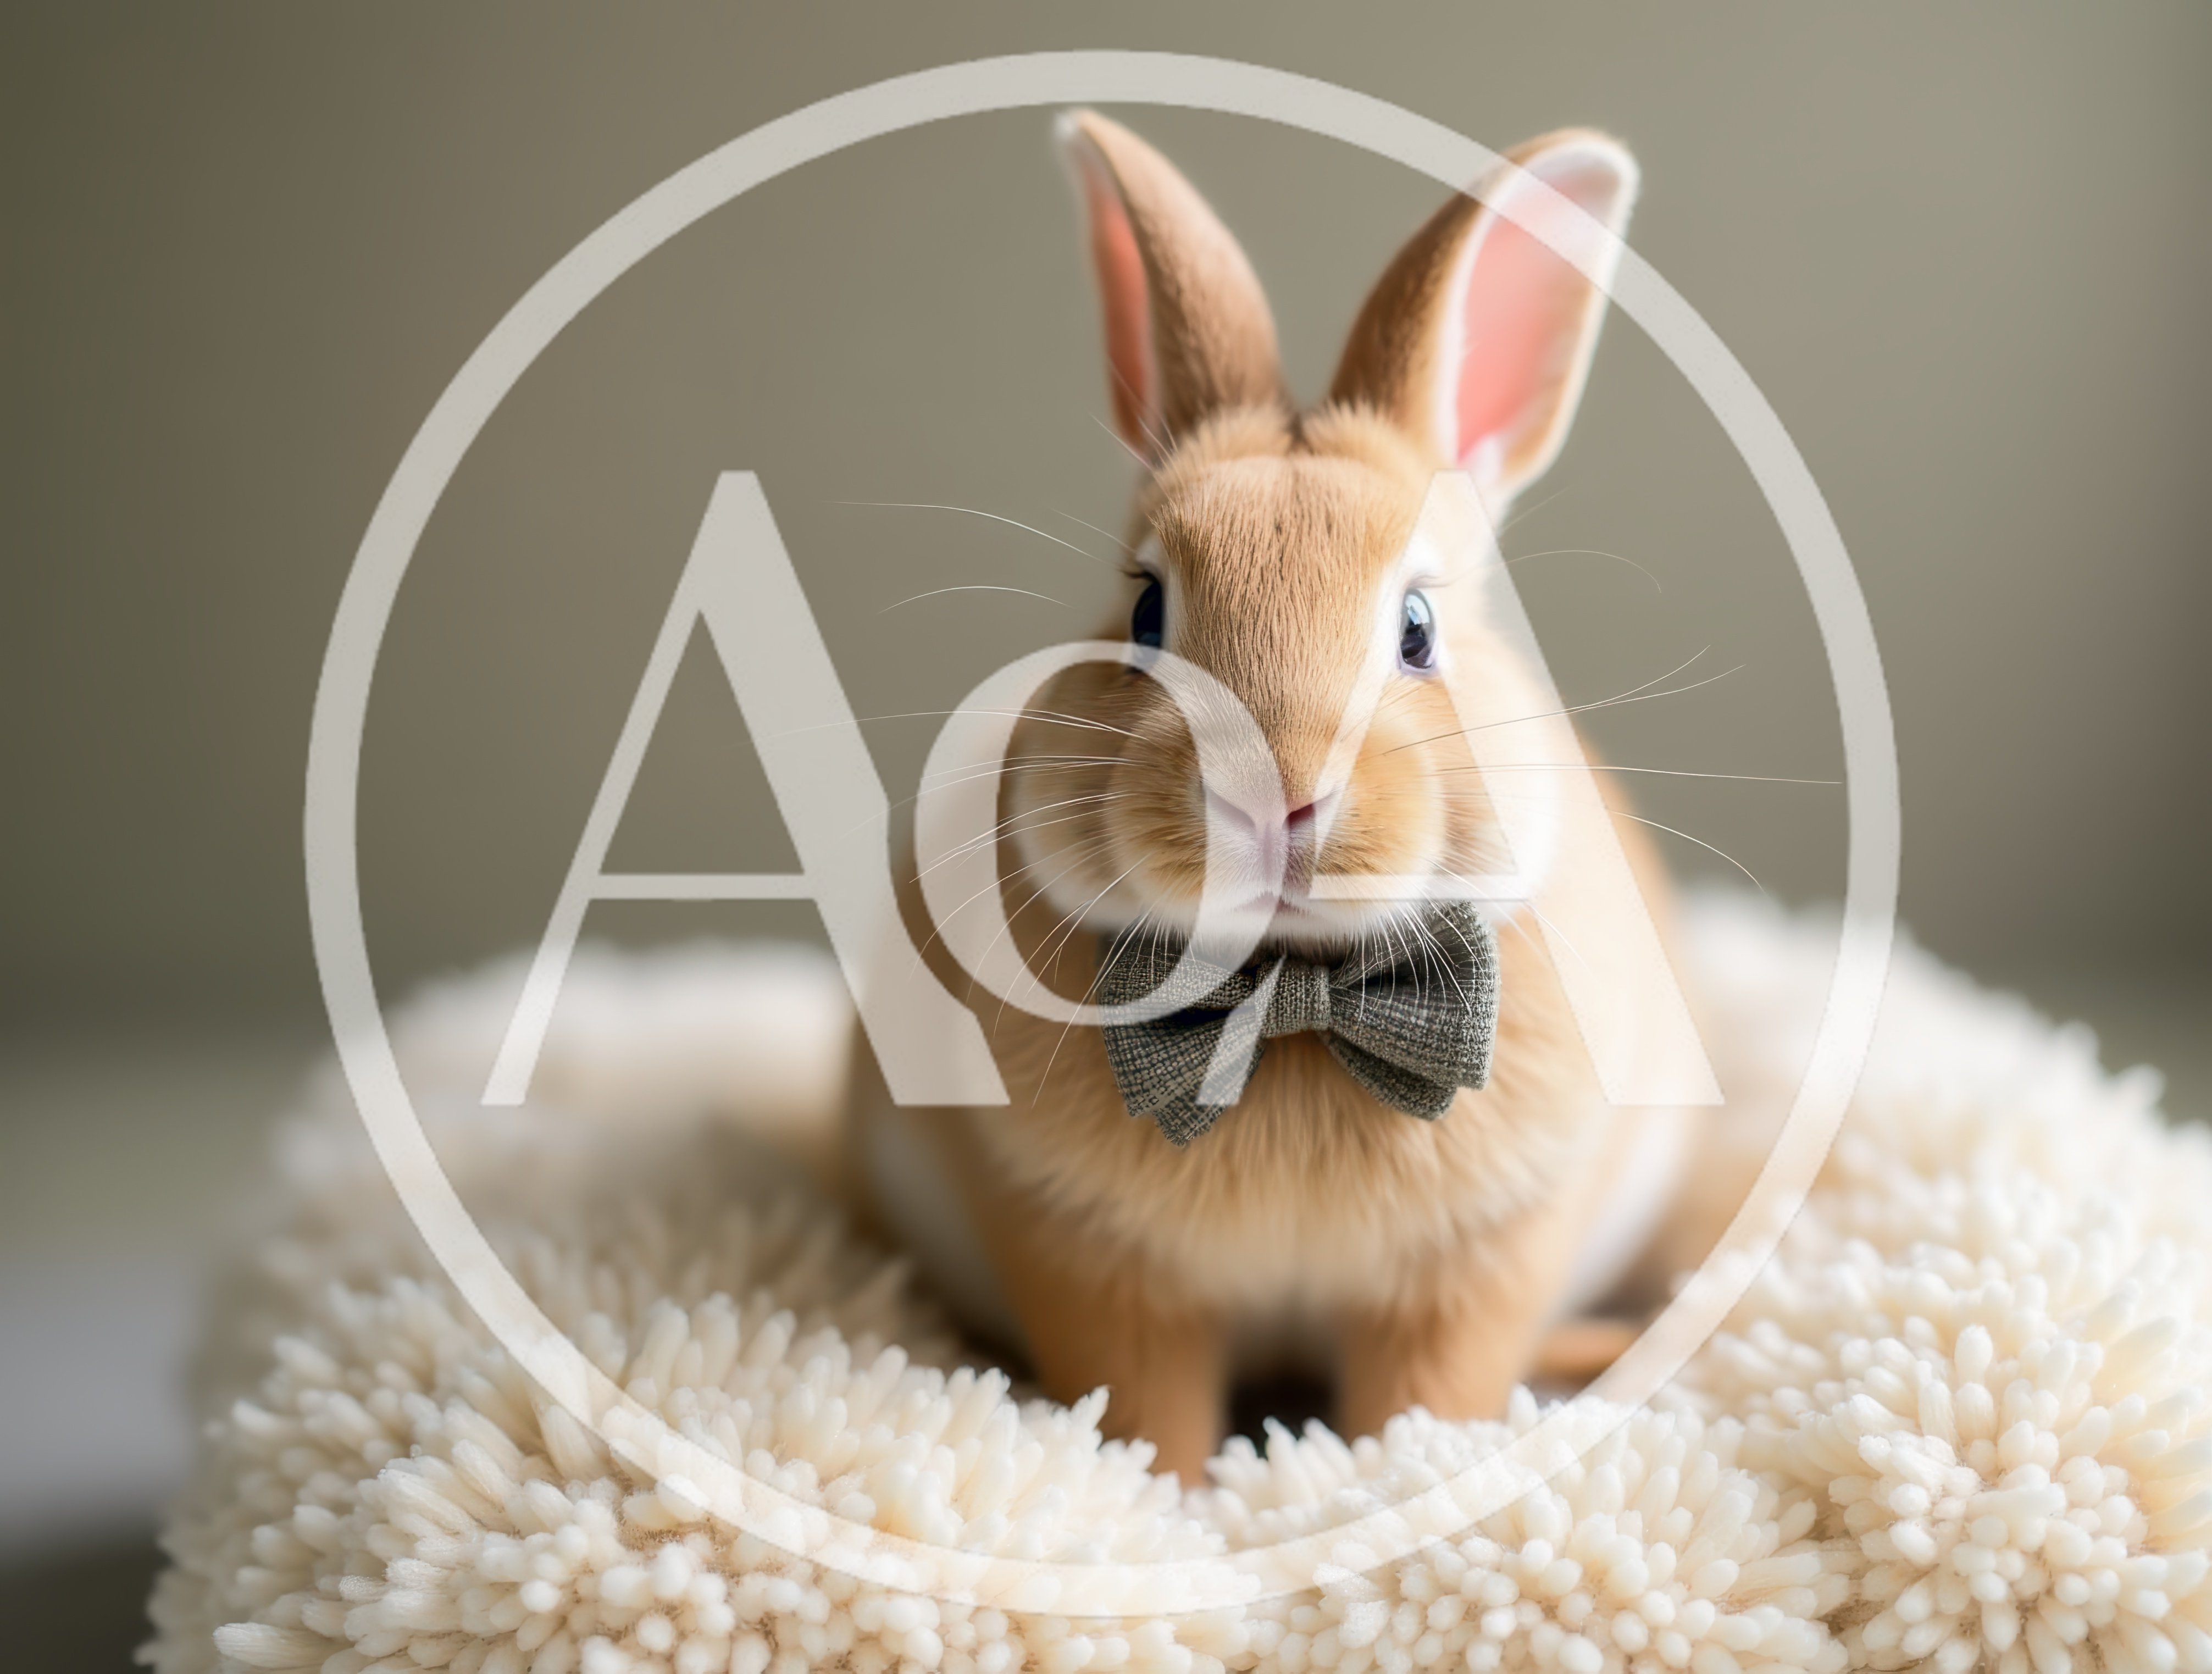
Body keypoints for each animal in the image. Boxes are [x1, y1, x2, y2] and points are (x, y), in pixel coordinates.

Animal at [847, 111, 1700, 1484]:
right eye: (1144, 611)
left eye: (1415, 629)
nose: (1274, 795)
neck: (1290, 996)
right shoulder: (1088, 1258)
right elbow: (1145, 1410)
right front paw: (1180, 1495)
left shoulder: (1477, 1266)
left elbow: (1422, 1398)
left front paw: (1381, 1477)